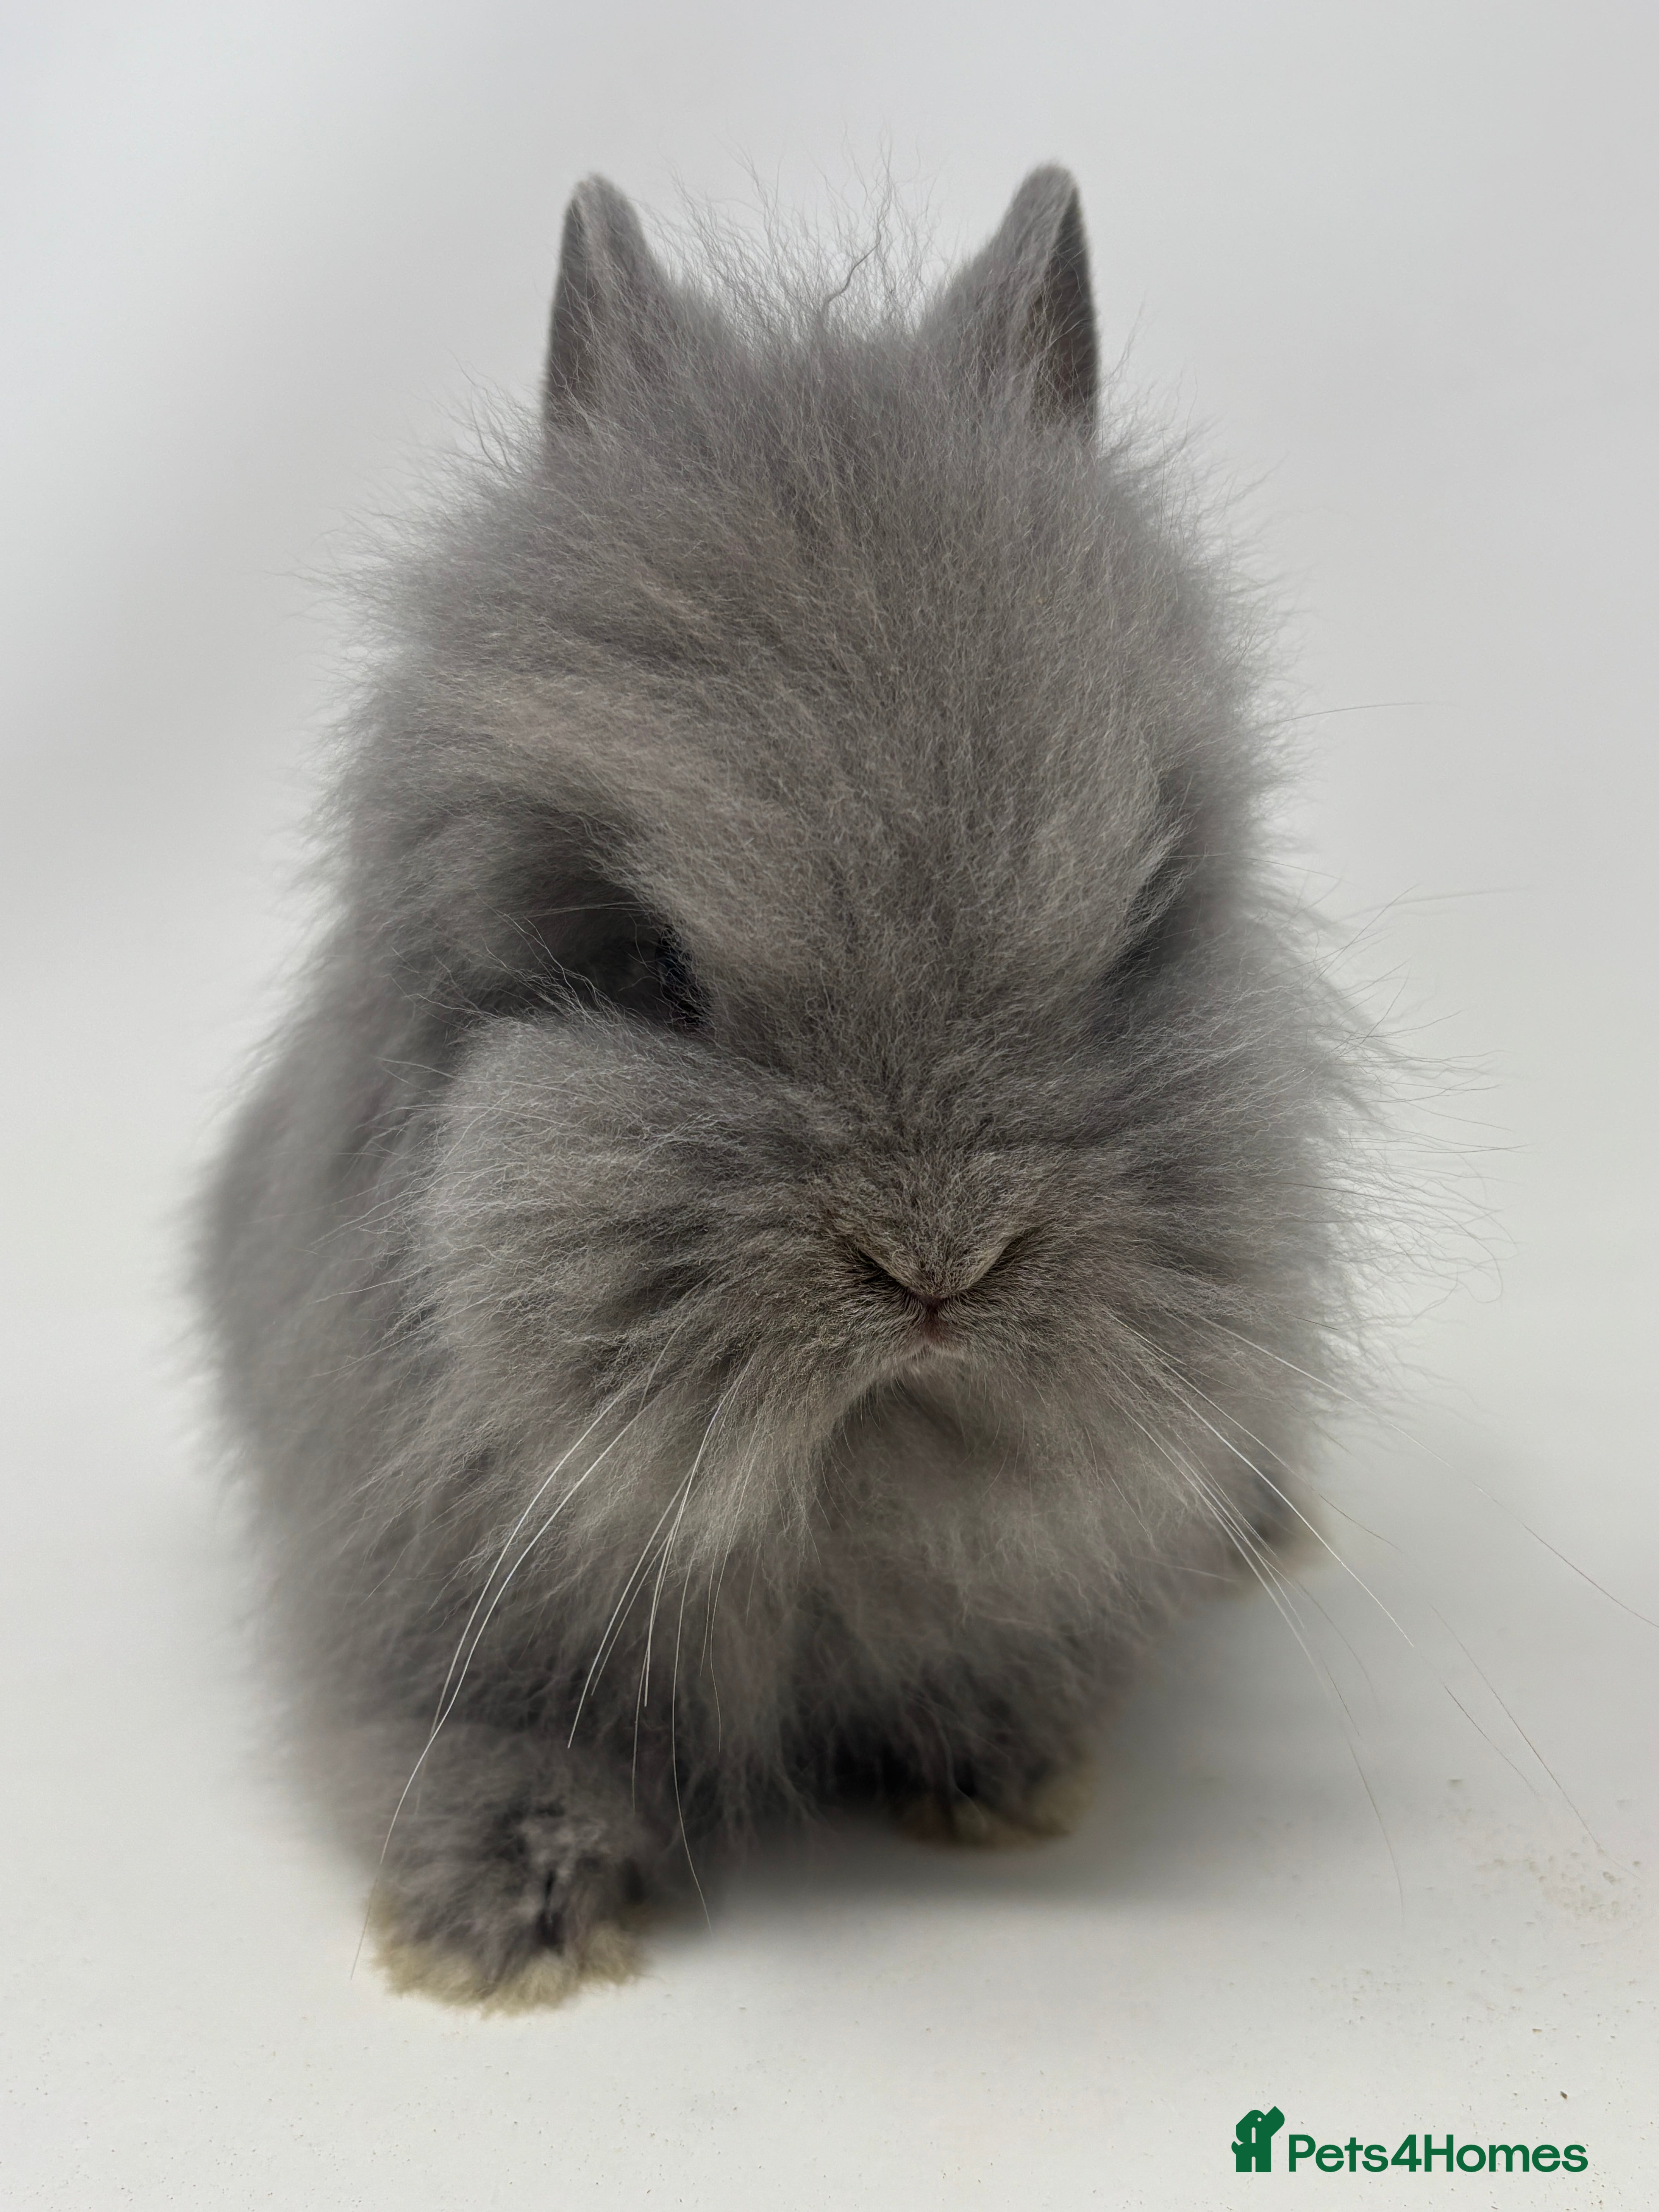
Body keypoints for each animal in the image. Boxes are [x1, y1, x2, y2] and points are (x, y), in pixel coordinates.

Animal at [200, 166, 1365, 2008]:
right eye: (646, 966)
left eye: (1135, 928)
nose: (936, 1266)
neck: (835, 1497)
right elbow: (484, 1746)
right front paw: (501, 1924)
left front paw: (1000, 1774)